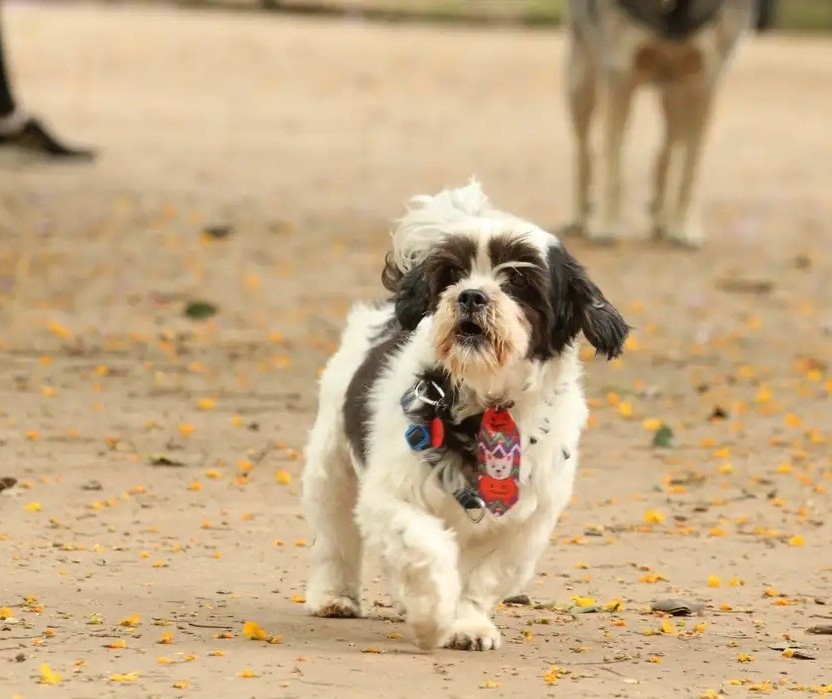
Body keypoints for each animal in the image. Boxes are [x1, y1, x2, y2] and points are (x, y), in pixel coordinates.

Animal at [302, 180, 628, 652]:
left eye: (518, 280)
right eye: (453, 275)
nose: (472, 294)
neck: (487, 403)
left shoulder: (524, 523)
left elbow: (483, 576)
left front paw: (467, 623)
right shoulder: (392, 496)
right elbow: (426, 548)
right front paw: (432, 617)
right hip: (332, 466)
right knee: (335, 533)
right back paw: (334, 595)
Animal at [564, 0, 752, 246]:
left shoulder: (704, 83)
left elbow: (690, 170)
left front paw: (684, 227)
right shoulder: (619, 75)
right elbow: (613, 165)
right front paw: (607, 225)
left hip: (674, 97)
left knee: (668, 149)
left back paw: (662, 215)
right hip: (580, 86)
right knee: (584, 150)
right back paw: (577, 213)